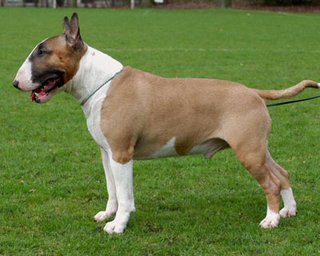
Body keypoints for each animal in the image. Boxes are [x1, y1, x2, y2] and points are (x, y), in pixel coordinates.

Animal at [13, 14, 320, 234]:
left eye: (42, 52)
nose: (15, 83)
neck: (100, 83)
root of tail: (253, 92)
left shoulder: (121, 154)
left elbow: (125, 195)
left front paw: (117, 225)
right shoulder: (106, 153)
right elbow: (113, 191)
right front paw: (108, 214)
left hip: (248, 152)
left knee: (270, 183)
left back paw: (271, 220)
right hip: (258, 148)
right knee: (282, 174)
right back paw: (288, 211)